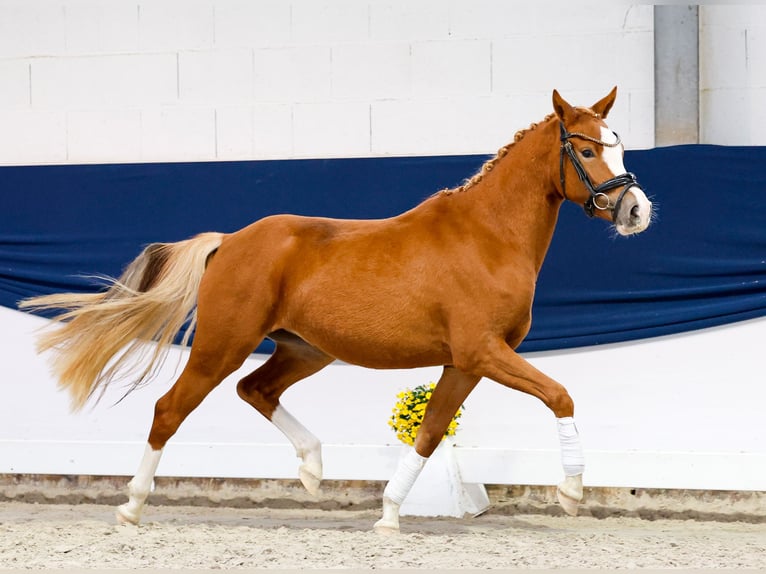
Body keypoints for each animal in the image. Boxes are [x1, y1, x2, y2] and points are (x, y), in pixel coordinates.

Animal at [20, 87, 653, 532]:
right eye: (587, 148)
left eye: (620, 143)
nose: (636, 210)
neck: (488, 236)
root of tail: (229, 241)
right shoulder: (483, 352)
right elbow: (560, 395)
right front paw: (571, 493)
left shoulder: (465, 362)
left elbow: (429, 432)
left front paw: (389, 515)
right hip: (223, 345)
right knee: (170, 409)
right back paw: (131, 508)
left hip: (304, 350)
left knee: (256, 390)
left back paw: (312, 470)